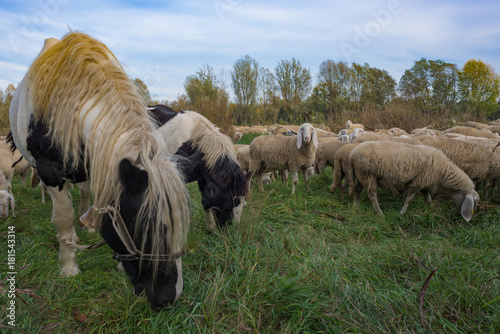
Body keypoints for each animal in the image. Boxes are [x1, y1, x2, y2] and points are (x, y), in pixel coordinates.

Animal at [148, 105, 250, 234]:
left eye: (244, 205)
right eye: (229, 206)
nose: (231, 234)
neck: (193, 141)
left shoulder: (204, 177)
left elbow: (206, 201)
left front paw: (211, 228)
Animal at [346, 141, 478, 222]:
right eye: (475, 202)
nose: (474, 215)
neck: (443, 171)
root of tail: (352, 154)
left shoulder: (424, 182)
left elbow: (428, 198)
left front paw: (430, 209)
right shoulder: (417, 182)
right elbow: (409, 199)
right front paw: (402, 213)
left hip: (362, 176)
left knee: (357, 190)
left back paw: (357, 207)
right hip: (368, 175)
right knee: (372, 196)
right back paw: (380, 213)